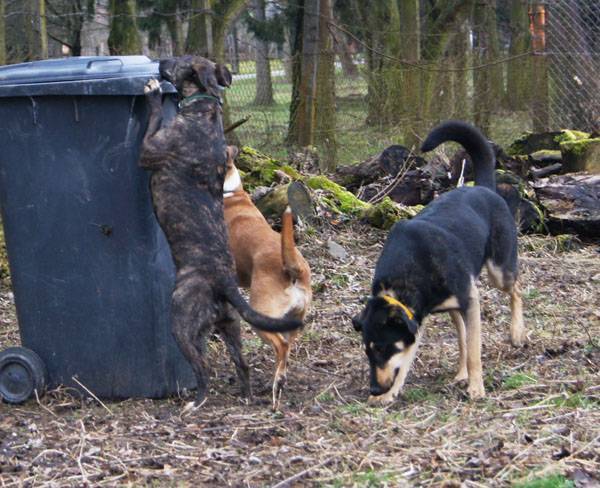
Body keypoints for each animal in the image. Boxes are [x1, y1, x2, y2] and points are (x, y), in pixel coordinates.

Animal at [138, 56, 302, 405]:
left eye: (178, 60)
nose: (159, 60)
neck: (205, 106)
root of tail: (224, 282)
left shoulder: (148, 150)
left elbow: (154, 118)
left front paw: (154, 94)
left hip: (182, 321)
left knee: (204, 368)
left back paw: (195, 402)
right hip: (230, 326)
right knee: (243, 364)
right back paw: (248, 395)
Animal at [222, 146, 312, 409]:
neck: (229, 191)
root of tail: (295, 270)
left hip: (259, 316)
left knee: (281, 346)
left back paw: (276, 383)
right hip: (291, 321)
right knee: (288, 347)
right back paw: (280, 380)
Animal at [352, 120, 524, 404]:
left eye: (384, 348)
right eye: (367, 351)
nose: (374, 389)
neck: (405, 275)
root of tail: (483, 187)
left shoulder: (470, 300)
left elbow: (475, 350)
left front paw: (477, 388)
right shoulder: (415, 318)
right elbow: (408, 359)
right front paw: (388, 395)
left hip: (499, 270)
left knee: (517, 291)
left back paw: (517, 333)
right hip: (452, 306)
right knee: (462, 335)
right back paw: (461, 373)